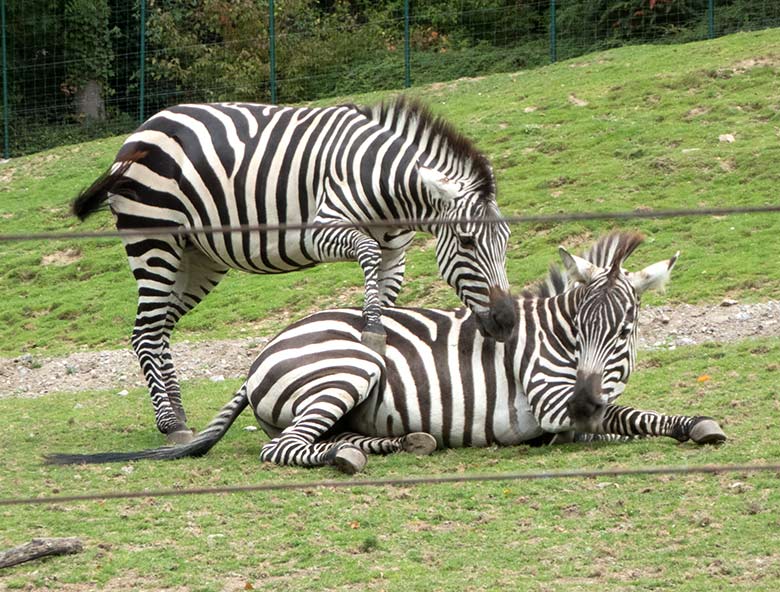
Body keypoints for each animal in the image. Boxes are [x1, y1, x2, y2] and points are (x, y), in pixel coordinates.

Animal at [48, 231, 728, 472]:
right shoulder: (549, 400)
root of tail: (262, 352)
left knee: (322, 437)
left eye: (625, 329)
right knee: (284, 448)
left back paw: (397, 443)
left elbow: (625, 414)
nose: (585, 407)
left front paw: (687, 423)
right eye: (579, 327)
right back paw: (356, 457)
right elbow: (624, 416)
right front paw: (688, 424)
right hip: (350, 367)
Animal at [70, 97, 516, 442]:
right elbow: (367, 253)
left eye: (507, 239)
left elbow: (385, 294)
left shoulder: (396, 256)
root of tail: (141, 130)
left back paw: (177, 414)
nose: (508, 321)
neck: (388, 188)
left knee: (159, 330)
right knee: (145, 333)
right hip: (154, 240)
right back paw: (170, 424)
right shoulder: (321, 230)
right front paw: (372, 333)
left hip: (198, 258)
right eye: (467, 241)